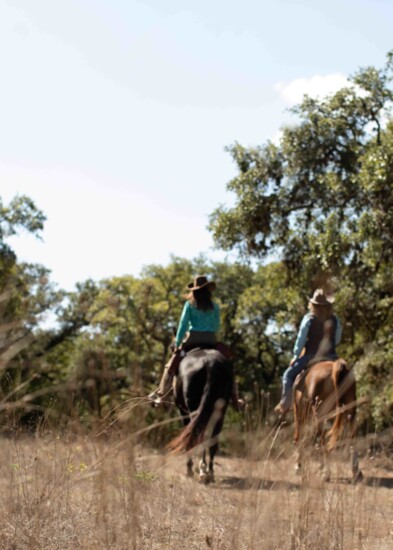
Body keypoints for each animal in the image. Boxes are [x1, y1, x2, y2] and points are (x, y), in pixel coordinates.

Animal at [166, 350, 233, 484]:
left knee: (198, 436)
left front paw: (190, 470)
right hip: (220, 412)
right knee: (213, 439)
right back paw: (210, 472)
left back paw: (201, 470)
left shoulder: (183, 412)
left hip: (193, 411)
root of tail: (210, 363)